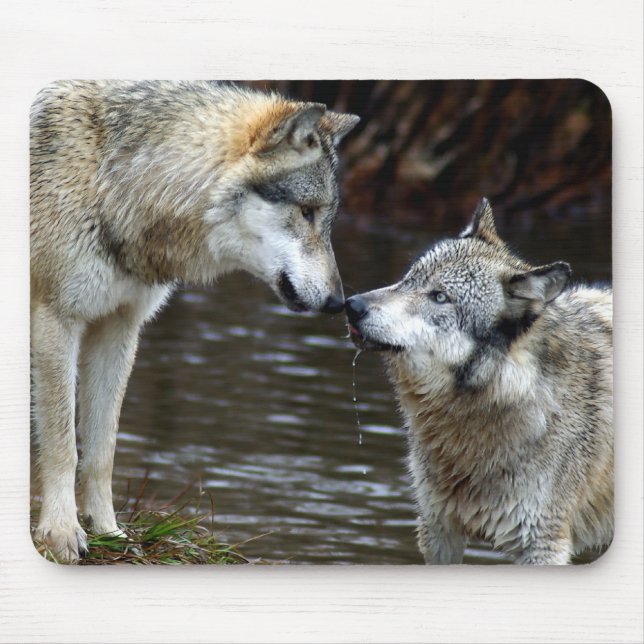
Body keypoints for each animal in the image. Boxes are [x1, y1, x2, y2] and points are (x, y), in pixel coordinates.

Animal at [30, 80, 359, 562]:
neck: (113, 178)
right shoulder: (57, 319)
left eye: (328, 218)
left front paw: (110, 532)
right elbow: (61, 445)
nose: (339, 302)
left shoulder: (119, 326)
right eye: (307, 211)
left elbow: (103, 448)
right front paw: (60, 534)